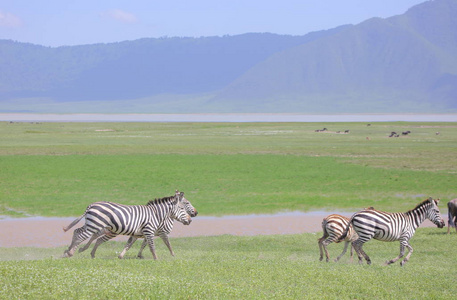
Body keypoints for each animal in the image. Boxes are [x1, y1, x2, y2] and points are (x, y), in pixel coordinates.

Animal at [62, 191, 191, 258]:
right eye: (182, 208)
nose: (190, 220)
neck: (156, 214)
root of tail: (91, 205)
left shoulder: (140, 233)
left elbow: (131, 245)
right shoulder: (149, 230)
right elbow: (154, 246)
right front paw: (158, 259)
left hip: (92, 224)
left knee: (77, 231)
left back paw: (69, 251)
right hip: (94, 225)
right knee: (81, 235)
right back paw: (70, 252)